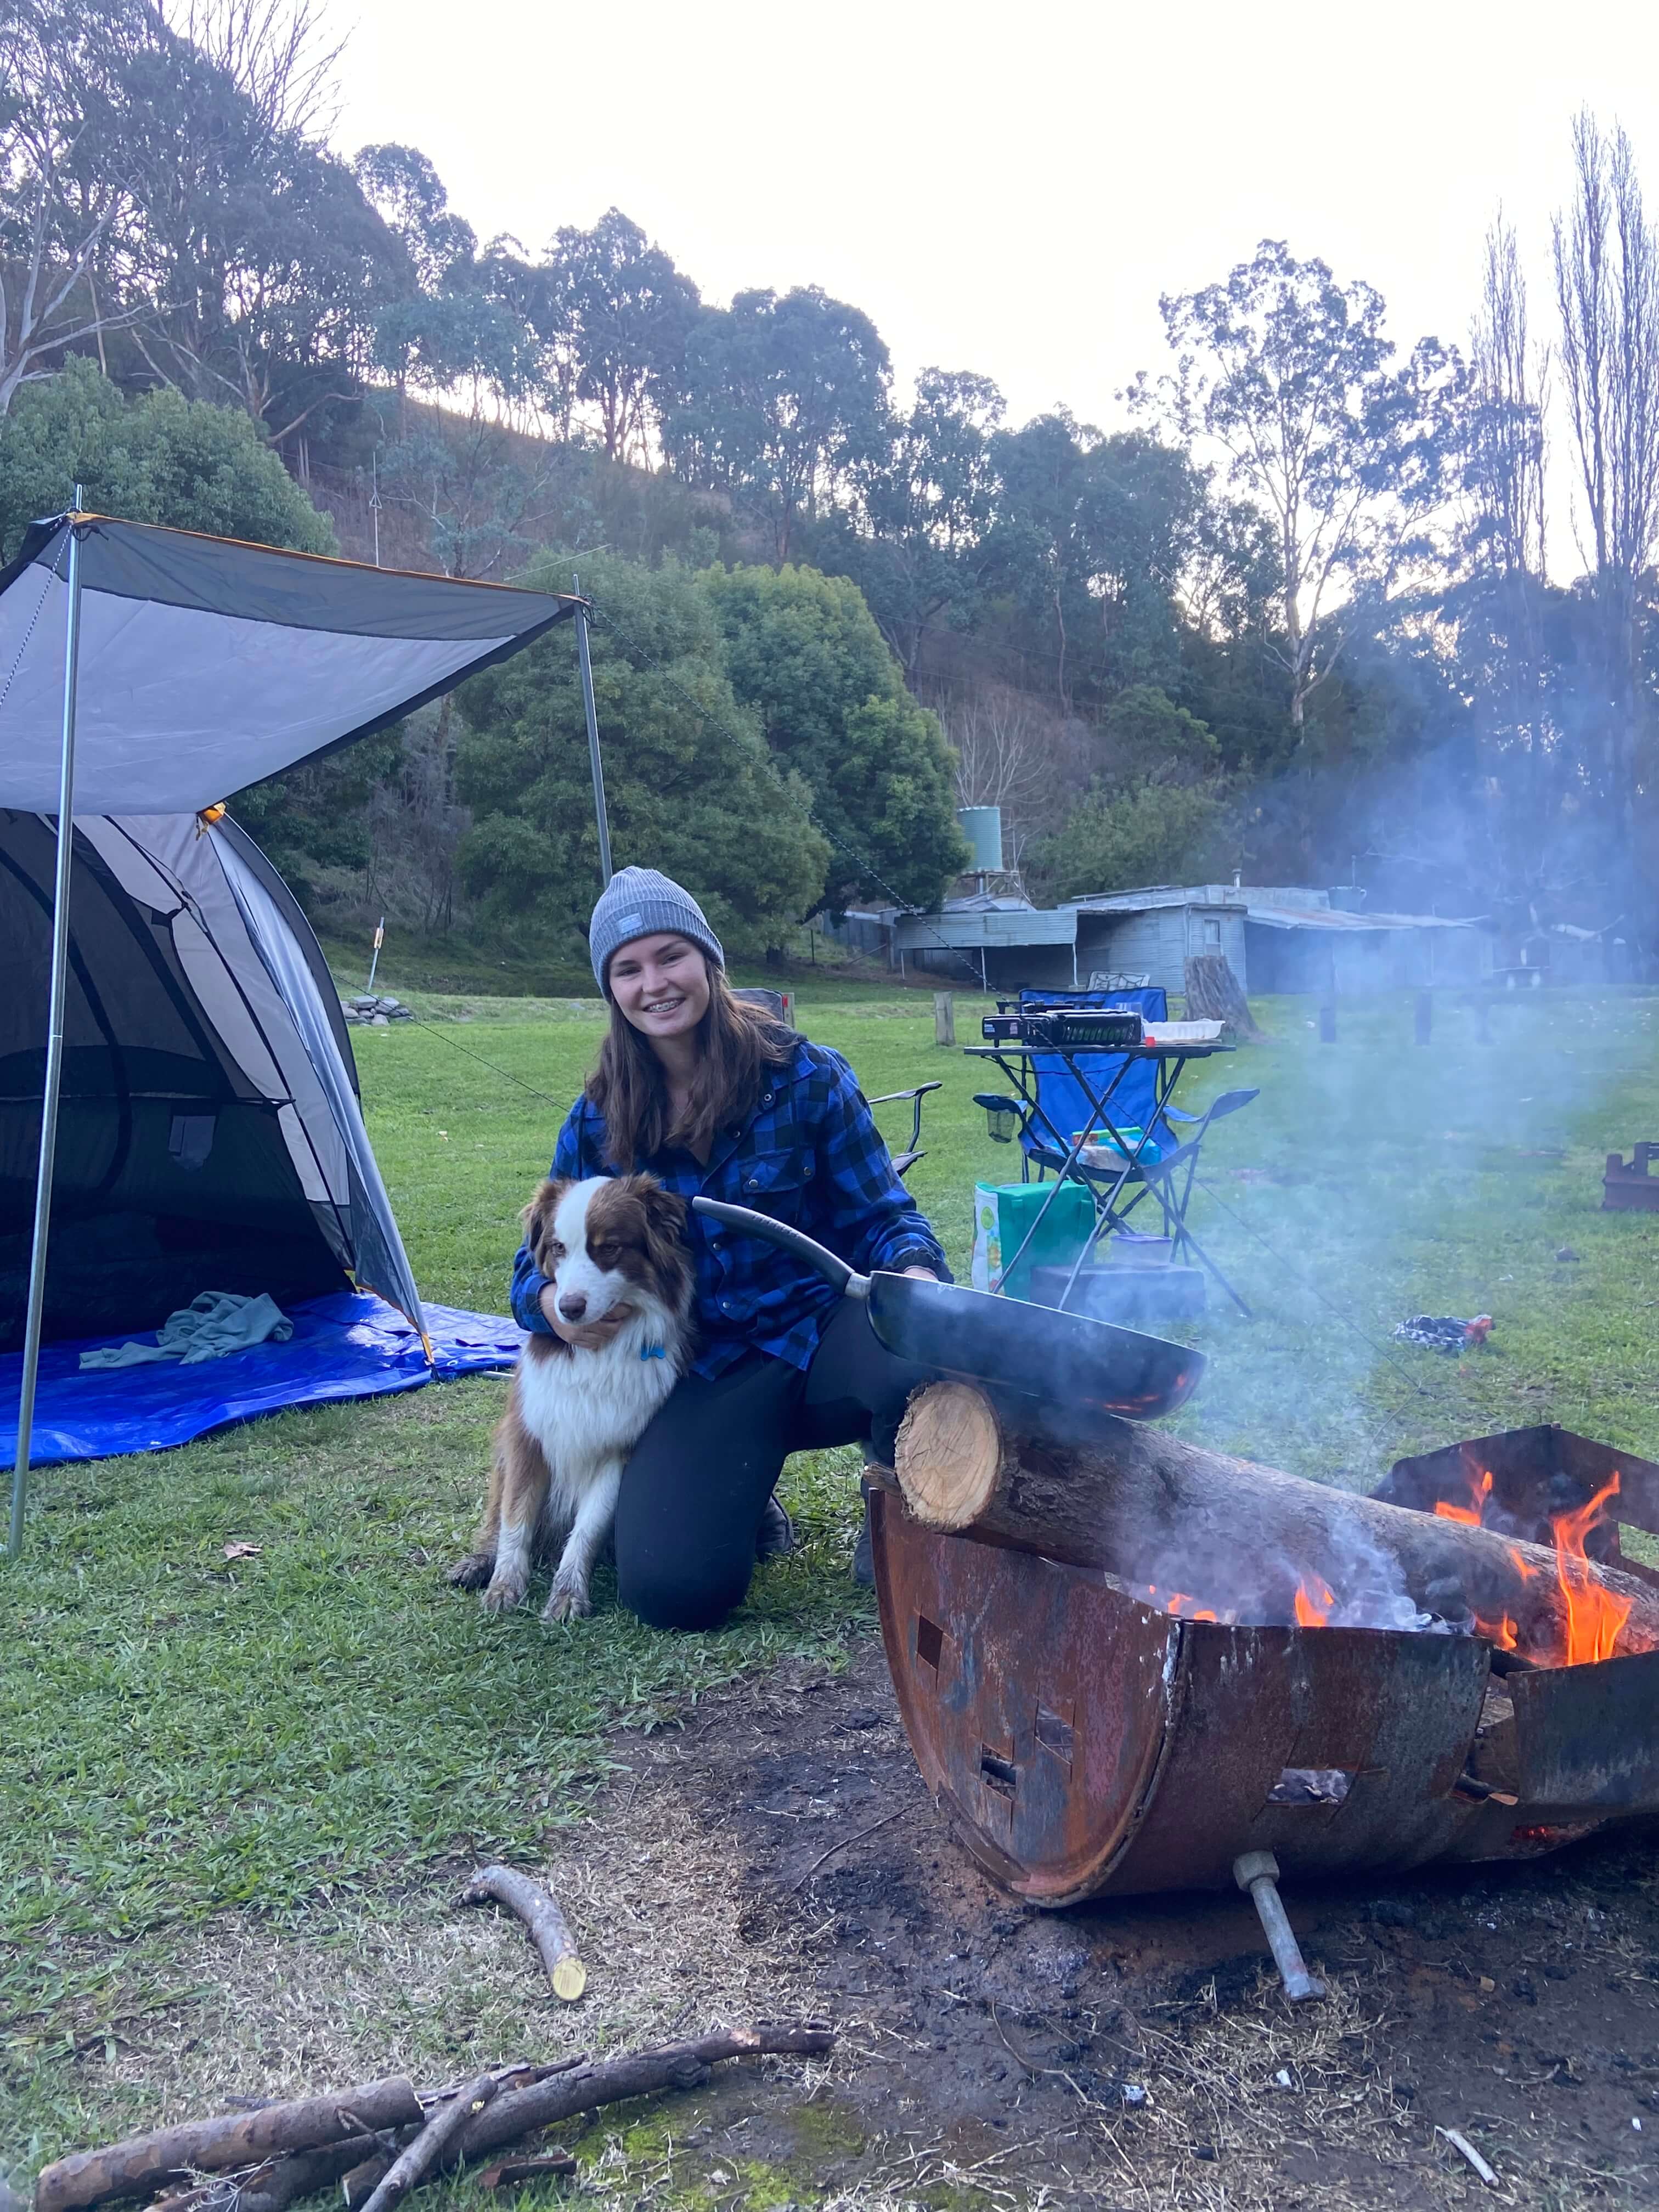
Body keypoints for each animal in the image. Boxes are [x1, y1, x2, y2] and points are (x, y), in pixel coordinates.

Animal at [449, 1177, 695, 1628]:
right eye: (558, 1247)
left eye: (610, 1247)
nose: (567, 1308)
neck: (597, 1353)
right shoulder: (527, 1436)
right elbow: (515, 1518)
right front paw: (504, 1586)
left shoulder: (618, 1449)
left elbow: (587, 1528)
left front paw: (567, 1593)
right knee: (495, 1515)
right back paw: (478, 1562)